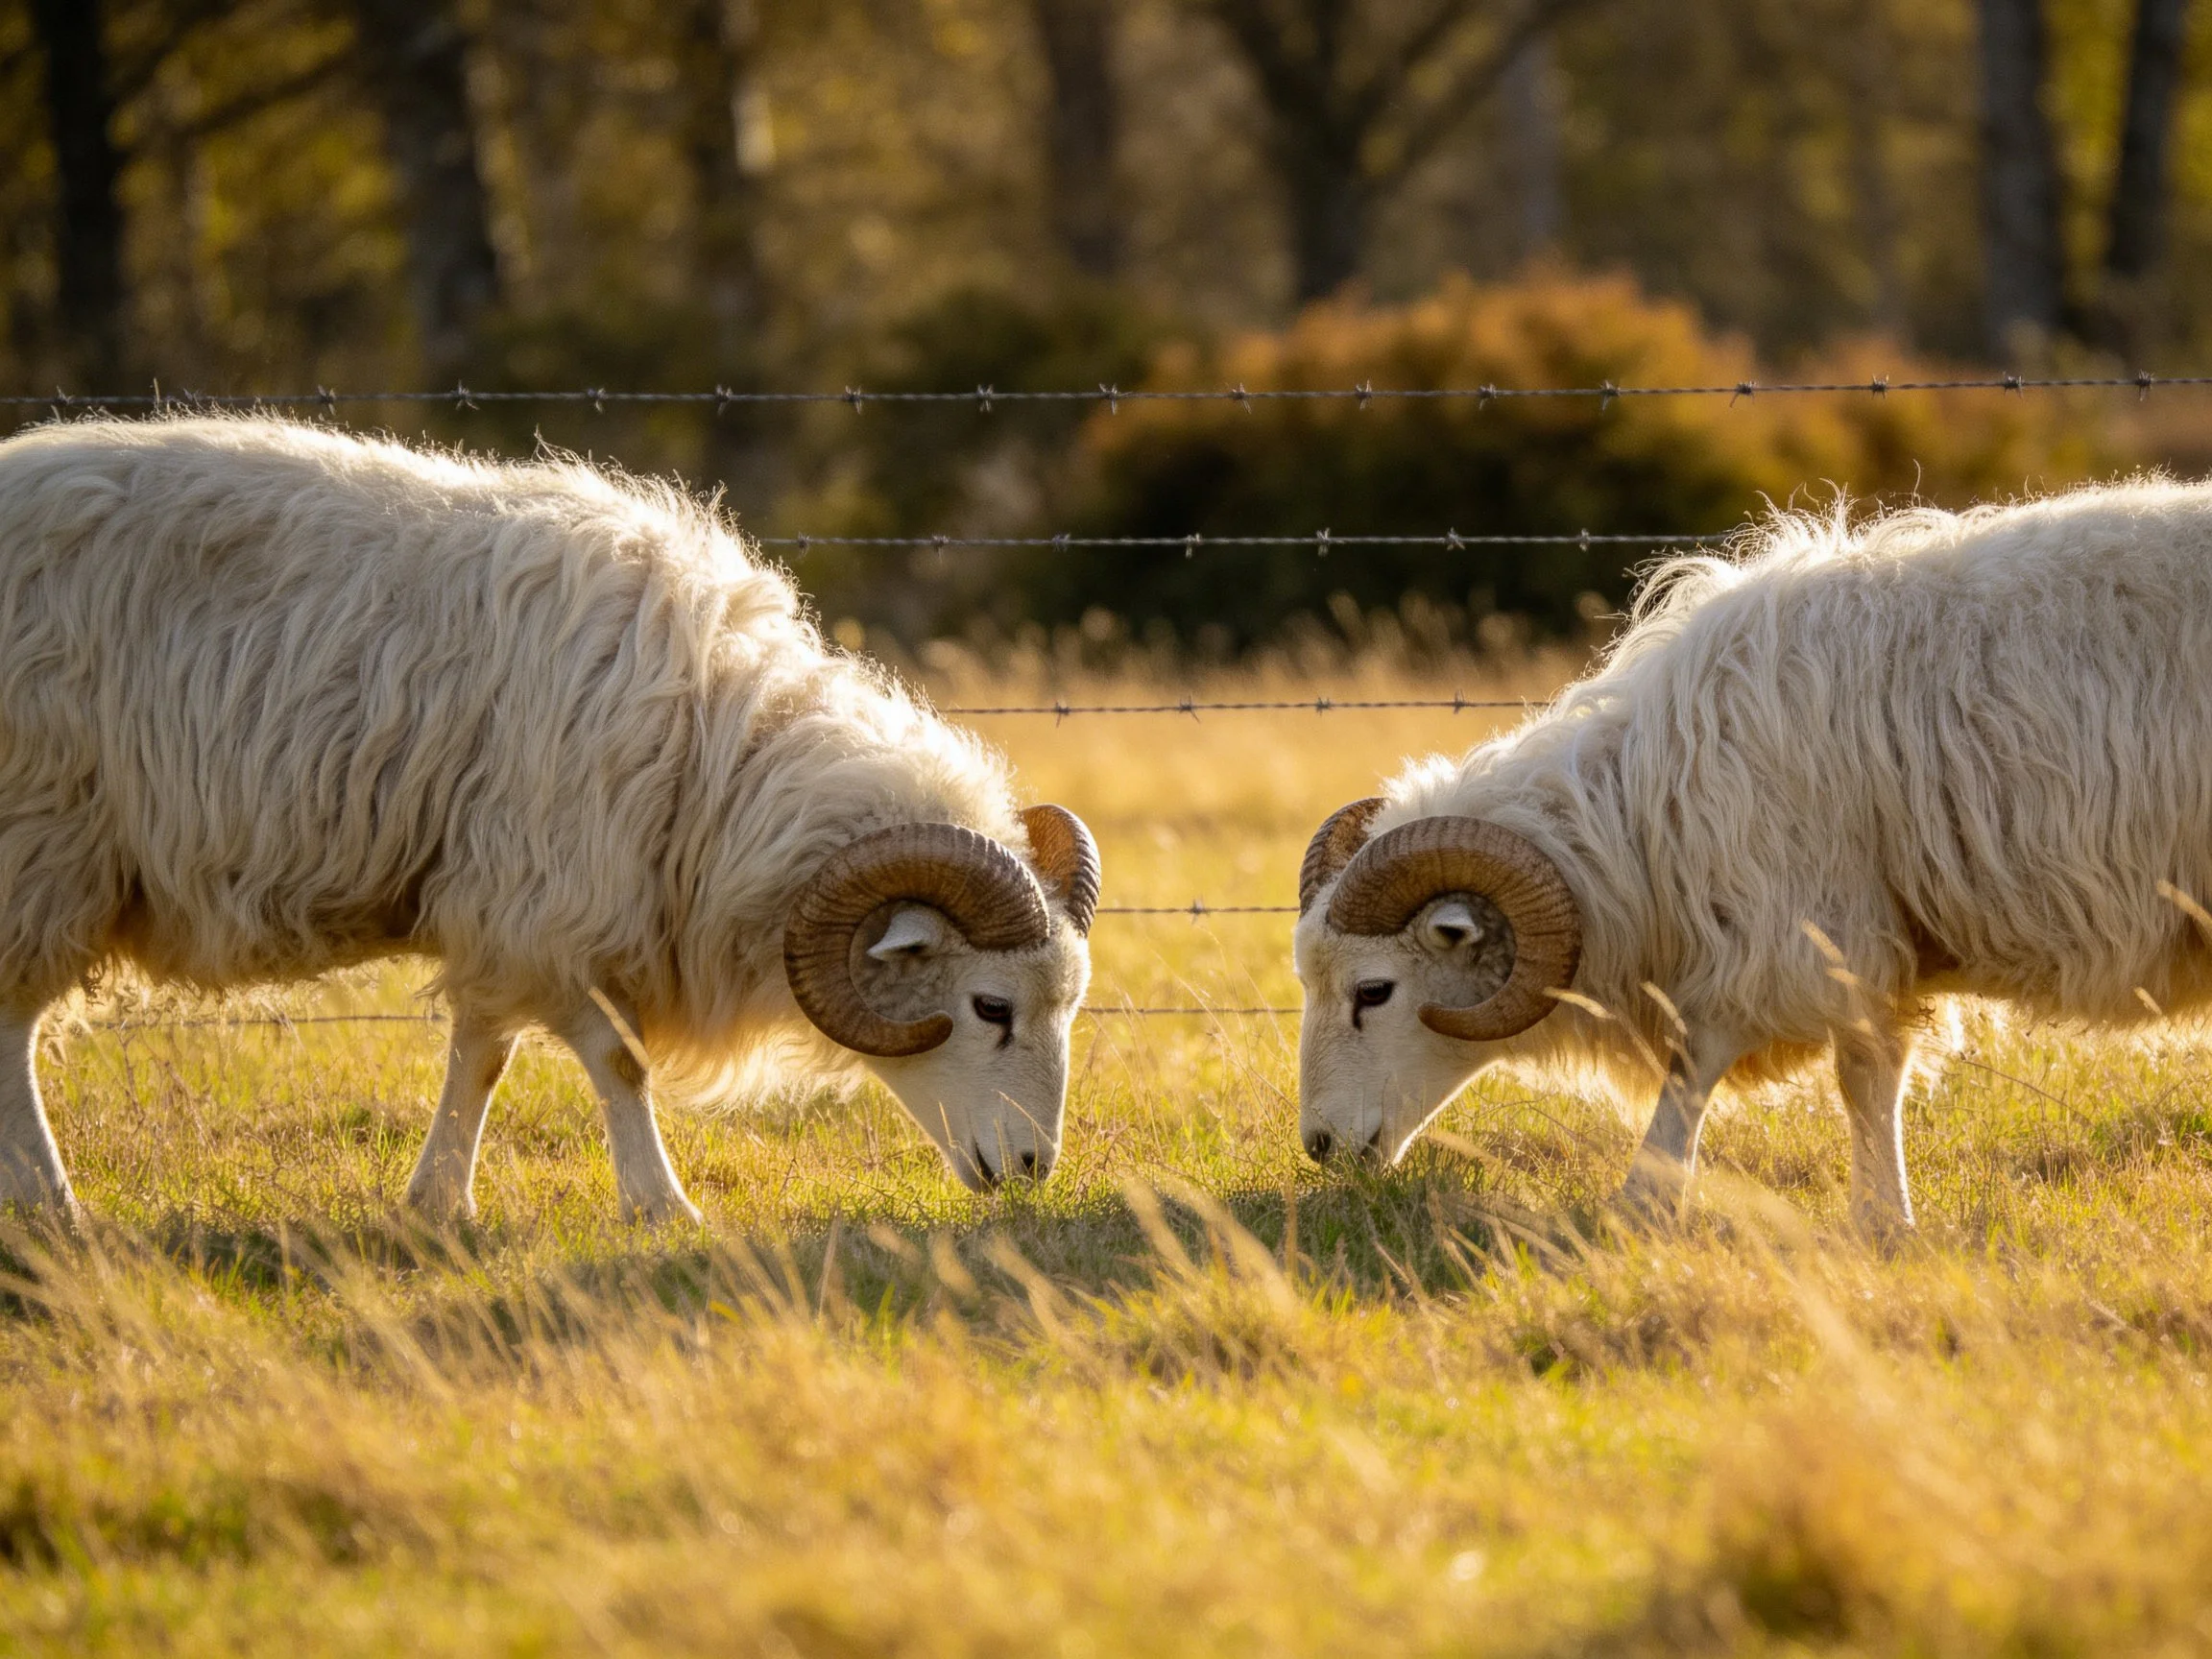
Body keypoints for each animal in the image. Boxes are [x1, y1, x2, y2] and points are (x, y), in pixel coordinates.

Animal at [0, 416, 1099, 1222]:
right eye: (989, 1008)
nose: (1032, 1173)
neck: (713, 753)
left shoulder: (500, 908)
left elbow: (481, 1055)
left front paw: (437, 1205)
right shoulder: (536, 905)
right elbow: (619, 1058)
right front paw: (663, 1209)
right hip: (39, 841)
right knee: (13, 1024)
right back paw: (55, 1207)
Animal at [1294, 480, 2212, 1231]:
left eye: (1373, 992)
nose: (1319, 1147)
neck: (1647, 818)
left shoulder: (1799, 923)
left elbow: (1715, 1063)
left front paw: (1648, 1203)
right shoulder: (1862, 934)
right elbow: (1871, 1073)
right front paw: (1883, 1221)